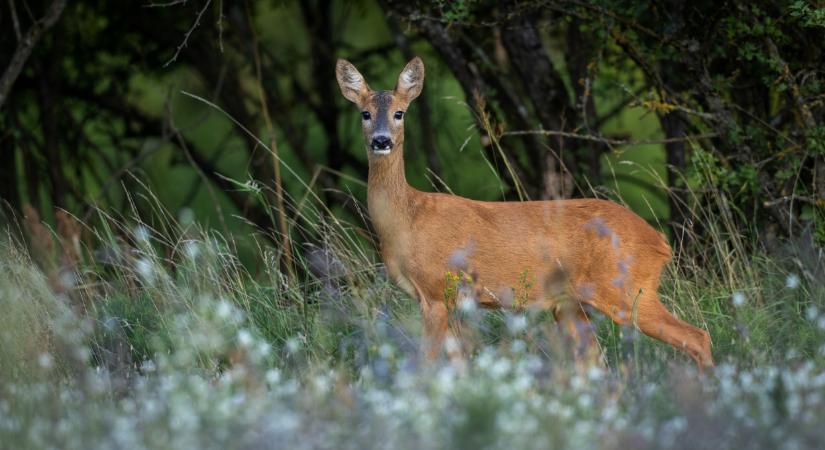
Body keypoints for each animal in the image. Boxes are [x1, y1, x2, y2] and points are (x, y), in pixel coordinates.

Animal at [334, 56, 716, 368]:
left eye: (399, 113)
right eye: (365, 113)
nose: (381, 140)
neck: (406, 220)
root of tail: (660, 242)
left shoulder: (438, 290)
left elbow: (425, 366)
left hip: (626, 289)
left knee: (697, 336)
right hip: (570, 303)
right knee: (596, 361)